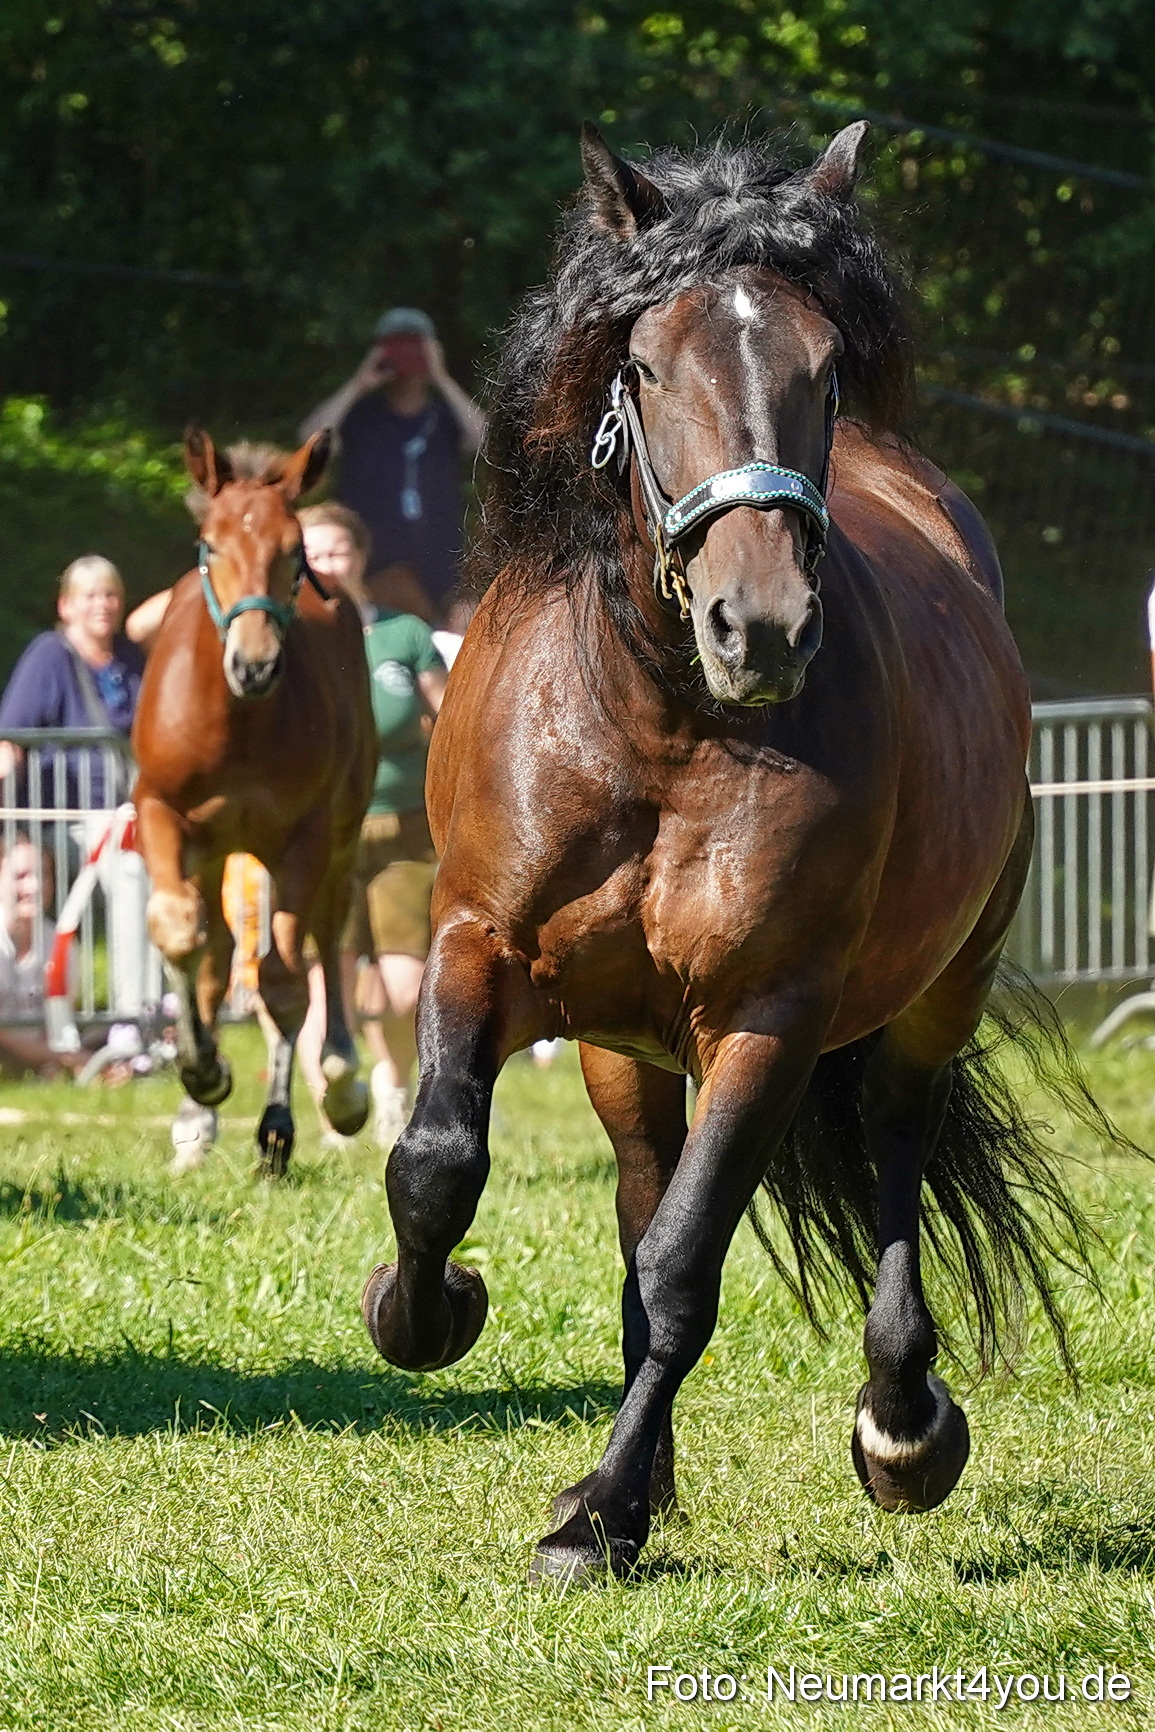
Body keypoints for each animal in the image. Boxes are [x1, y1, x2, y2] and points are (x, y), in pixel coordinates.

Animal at [132, 432, 375, 1175]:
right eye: (210, 545)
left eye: (294, 550)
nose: (255, 664)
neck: (236, 722)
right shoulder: (159, 811)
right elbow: (179, 931)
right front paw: (201, 1071)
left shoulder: (303, 836)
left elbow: (284, 982)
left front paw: (277, 1128)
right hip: (215, 849)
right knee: (213, 954)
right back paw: (198, 1114)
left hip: (341, 831)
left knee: (328, 929)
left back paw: (341, 1081)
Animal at [360, 122, 1096, 1582]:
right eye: (642, 366)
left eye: (824, 368)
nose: (759, 627)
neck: (655, 726)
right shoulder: (478, 943)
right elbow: (438, 1166)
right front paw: (426, 1309)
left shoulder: (769, 1016)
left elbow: (682, 1269)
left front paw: (593, 1516)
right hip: (620, 1049)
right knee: (641, 1189)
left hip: (939, 987)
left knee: (892, 1139)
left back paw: (899, 1425)